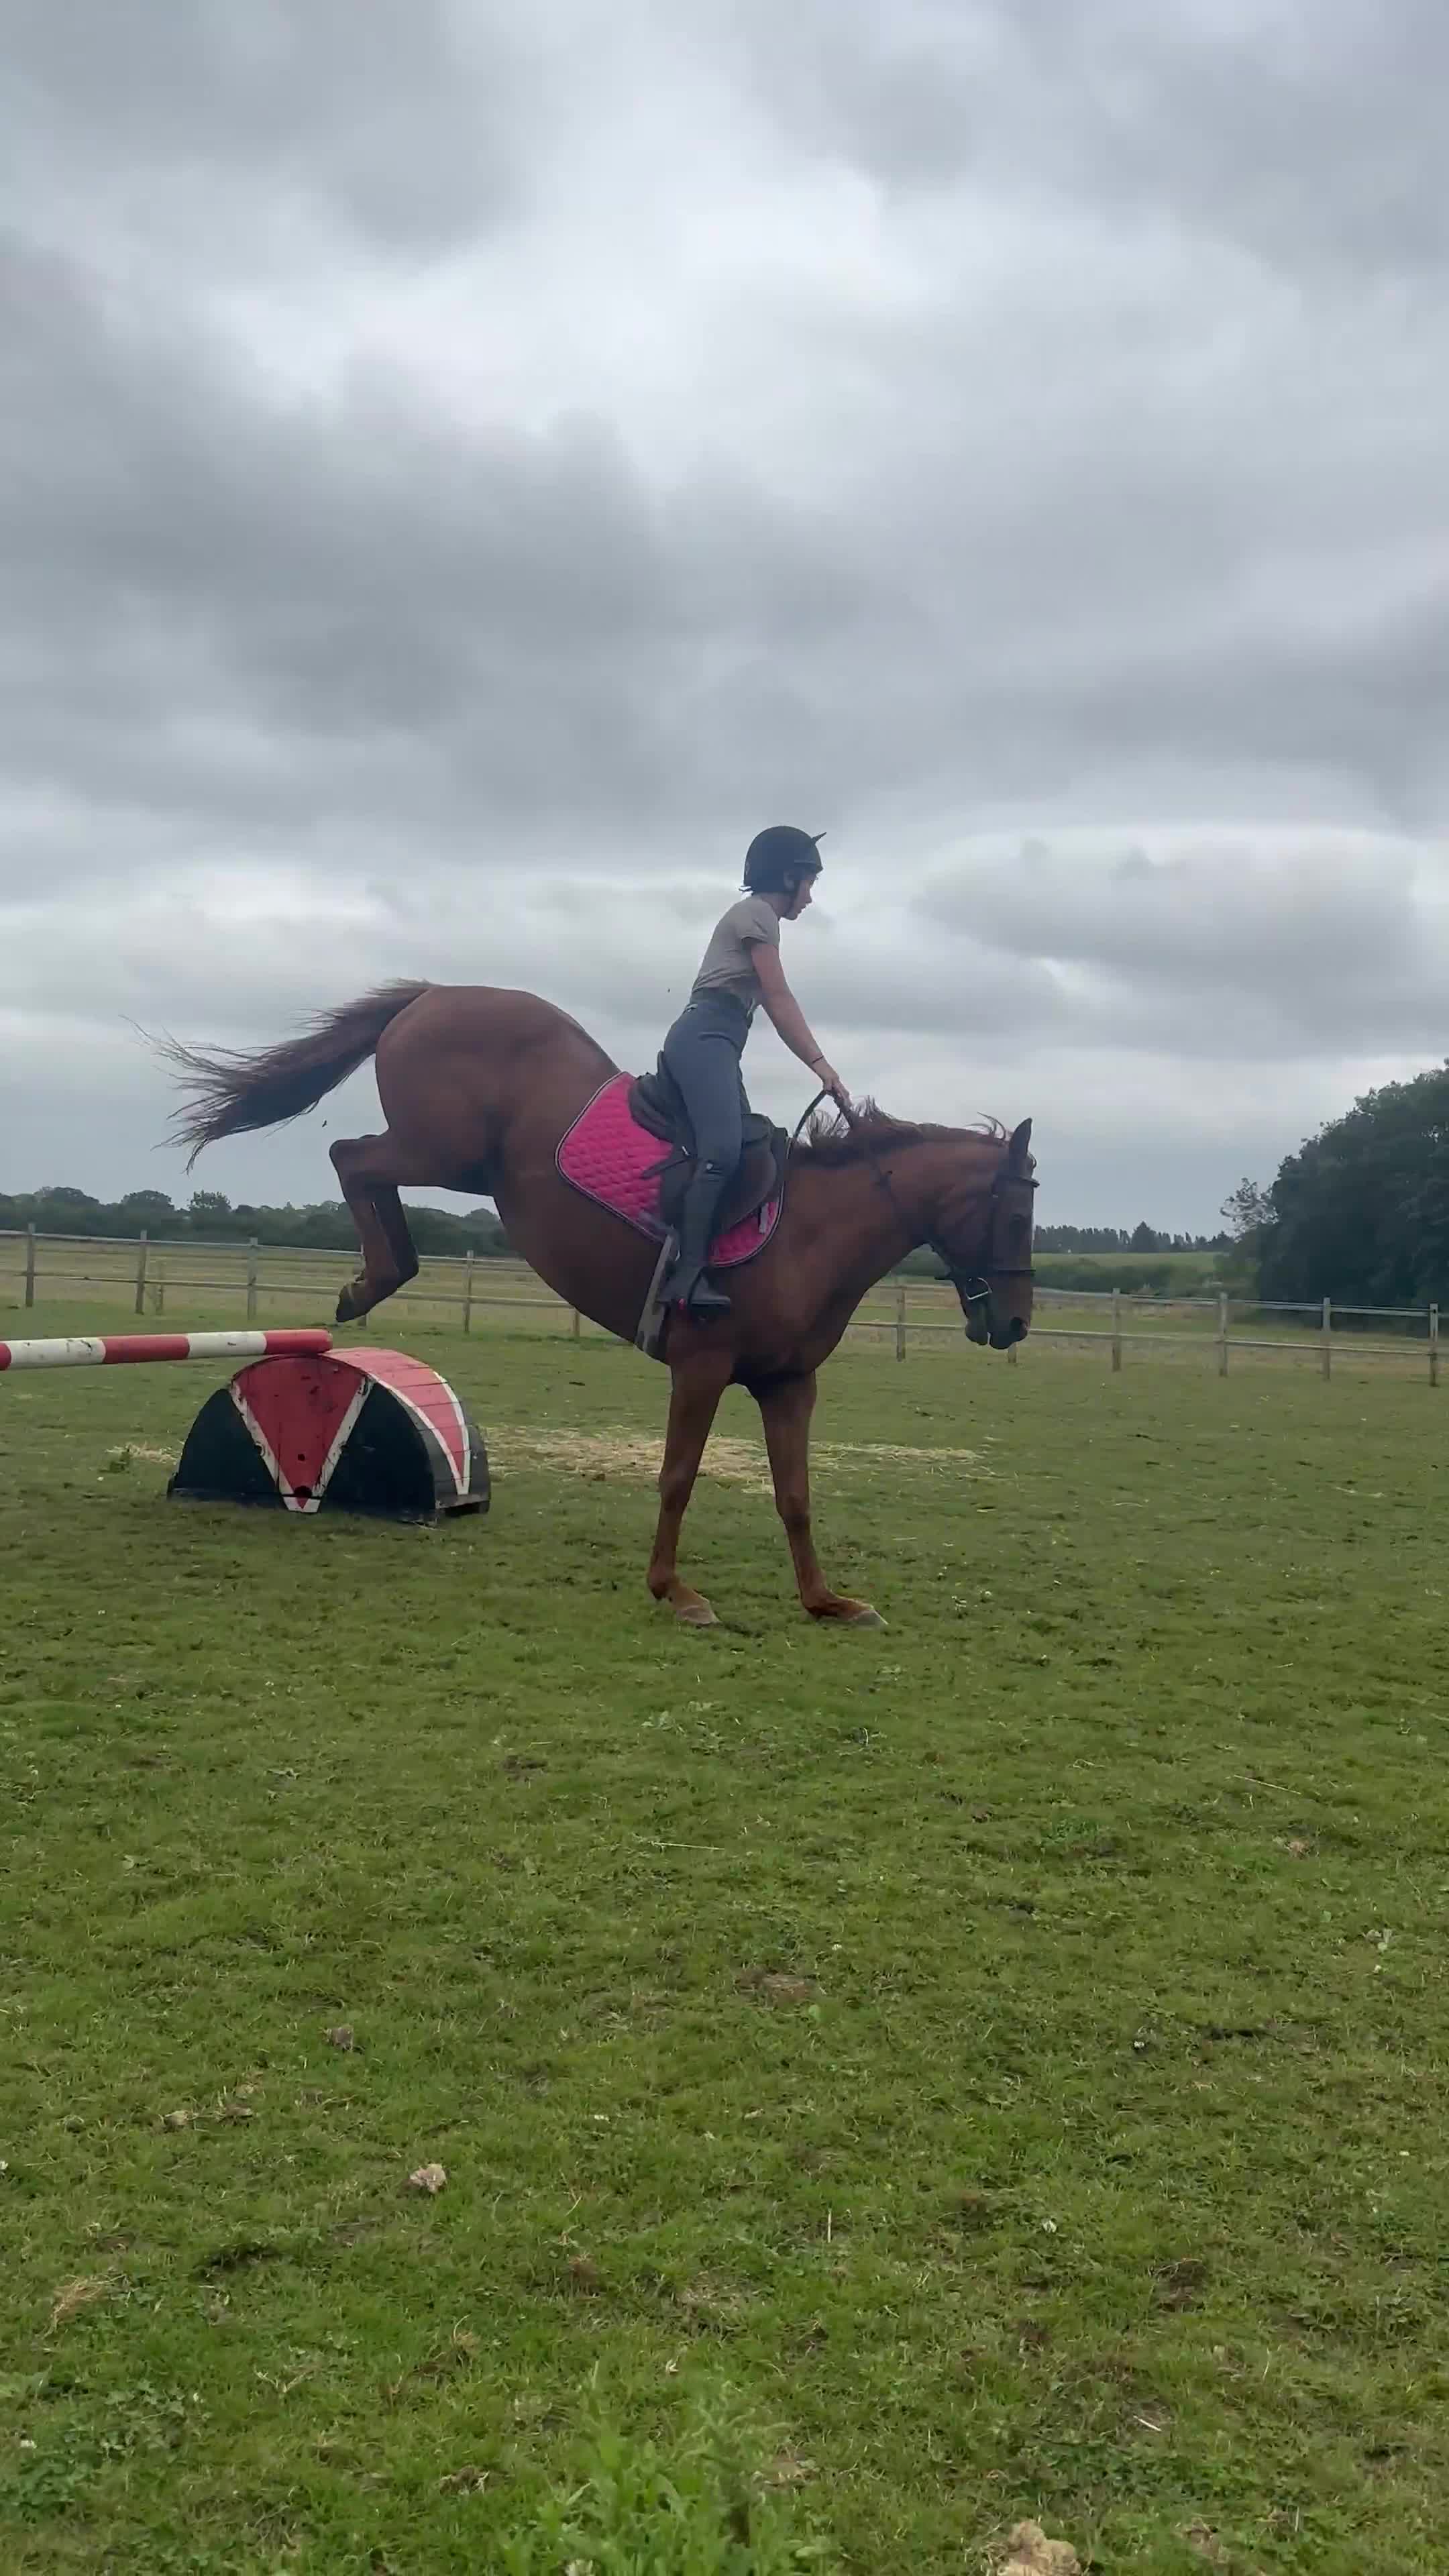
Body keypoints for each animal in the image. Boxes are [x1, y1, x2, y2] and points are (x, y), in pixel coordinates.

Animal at [157, 982, 1036, 1627]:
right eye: (1016, 1213)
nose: (1016, 1322)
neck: (810, 1231)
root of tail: (440, 992)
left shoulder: (789, 1383)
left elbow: (795, 1495)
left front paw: (826, 1602)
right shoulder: (702, 1366)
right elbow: (678, 1476)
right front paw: (675, 1593)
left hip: (462, 1164)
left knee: (362, 1164)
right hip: (443, 1151)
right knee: (354, 1156)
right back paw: (370, 1281)